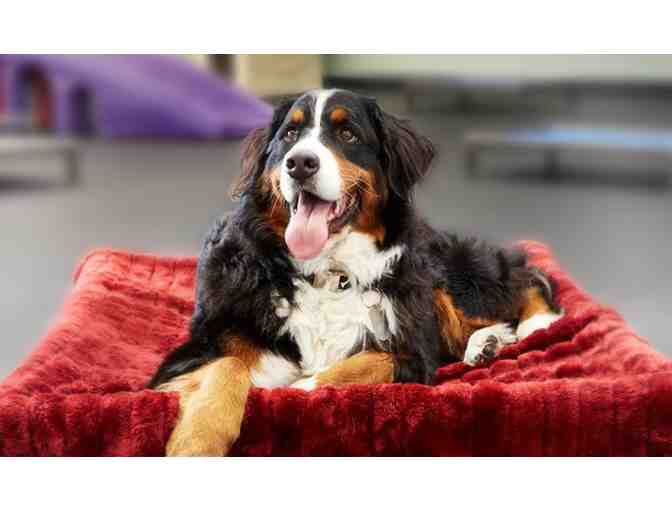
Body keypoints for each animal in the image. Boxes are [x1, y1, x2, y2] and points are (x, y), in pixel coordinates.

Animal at [148, 89, 562, 456]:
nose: (300, 163)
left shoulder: (413, 352)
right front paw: (198, 440)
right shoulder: (197, 350)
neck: (328, 272)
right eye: (289, 135)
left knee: (523, 277)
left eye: (348, 134)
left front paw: (303, 387)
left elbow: (370, 360)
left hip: (446, 274)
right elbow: (227, 365)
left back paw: (533, 324)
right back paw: (487, 343)